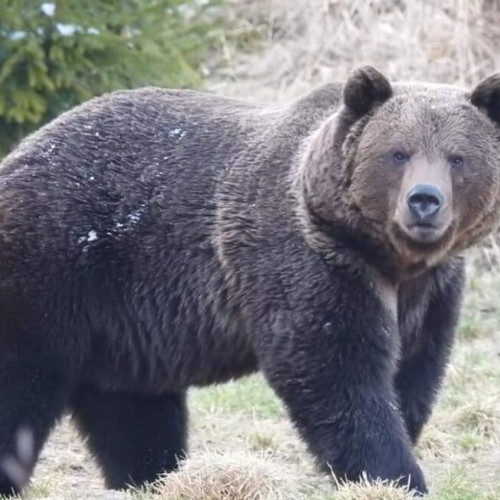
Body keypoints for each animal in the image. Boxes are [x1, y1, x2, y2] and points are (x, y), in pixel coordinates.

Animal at [0, 66, 500, 496]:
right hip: (50, 267)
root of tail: (19, 153)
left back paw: (154, 478)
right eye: (398, 153)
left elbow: (413, 370)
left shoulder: (430, 291)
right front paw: (394, 474)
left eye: (458, 158)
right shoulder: (309, 261)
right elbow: (336, 370)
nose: (424, 200)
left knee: (131, 410)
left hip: (119, 322)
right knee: (23, 383)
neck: (390, 258)